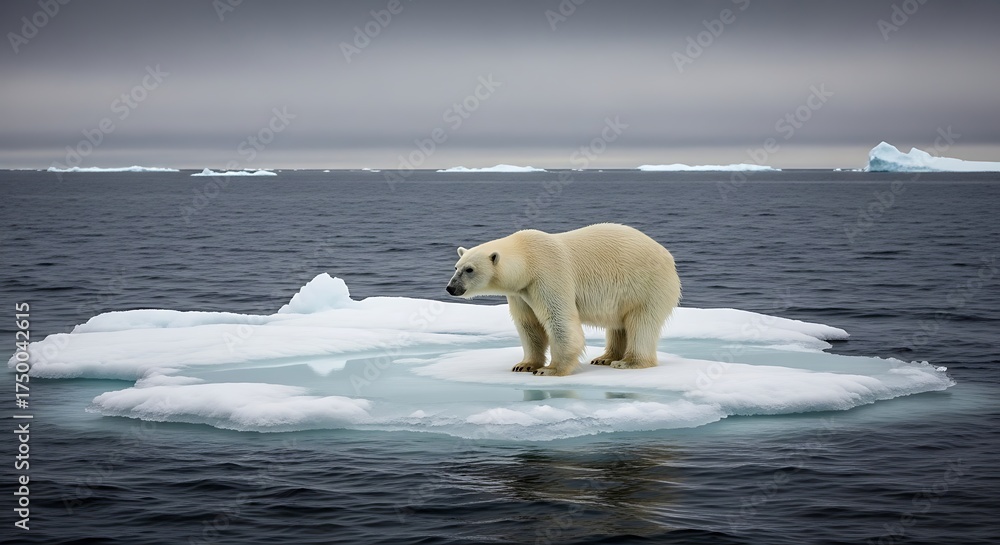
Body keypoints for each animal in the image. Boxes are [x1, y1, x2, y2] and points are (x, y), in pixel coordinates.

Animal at [446, 223, 681, 376]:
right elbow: (528, 324)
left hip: (648, 285)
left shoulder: (549, 274)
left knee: (641, 322)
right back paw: (605, 358)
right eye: (456, 267)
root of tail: (668, 255)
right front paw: (524, 365)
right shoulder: (521, 291)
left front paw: (549, 369)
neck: (527, 257)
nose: (450, 288)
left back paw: (628, 362)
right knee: (618, 325)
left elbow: (558, 319)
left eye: (469, 269)